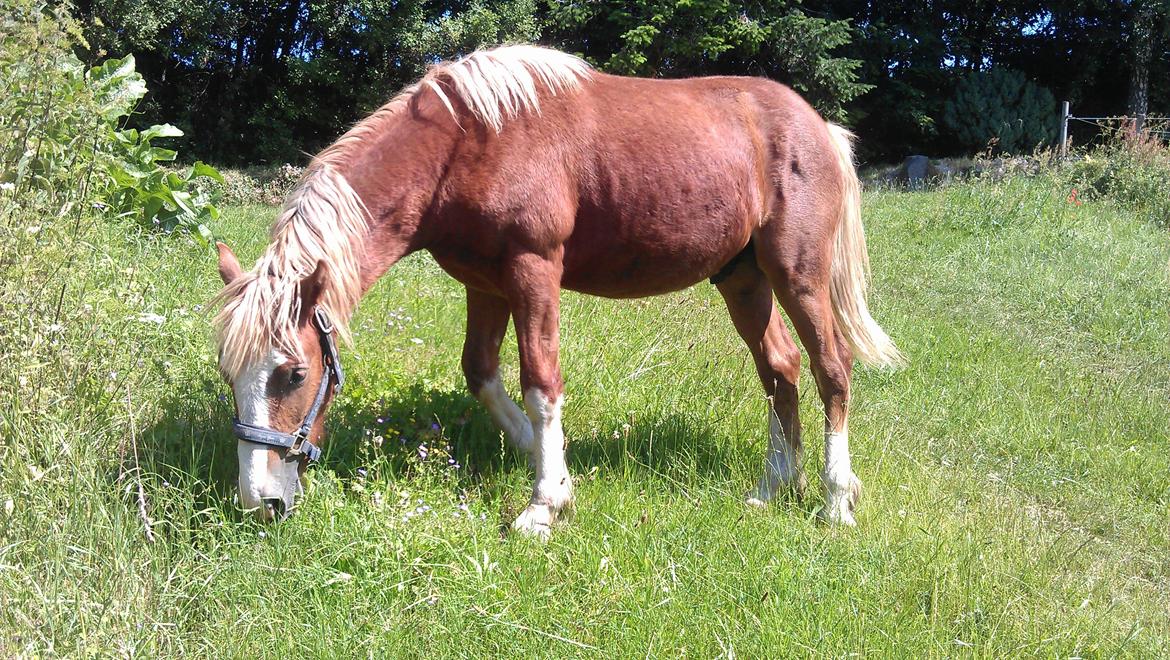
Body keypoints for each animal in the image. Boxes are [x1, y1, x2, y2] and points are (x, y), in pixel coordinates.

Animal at [212, 43, 903, 535]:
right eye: (230, 376)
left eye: (295, 374)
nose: (259, 501)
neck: (468, 143)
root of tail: (820, 127)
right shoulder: (486, 285)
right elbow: (482, 372)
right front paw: (547, 465)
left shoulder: (533, 270)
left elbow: (541, 383)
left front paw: (544, 504)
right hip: (743, 278)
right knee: (781, 369)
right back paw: (772, 488)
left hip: (797, 273)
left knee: (832, 368)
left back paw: (835, 501)